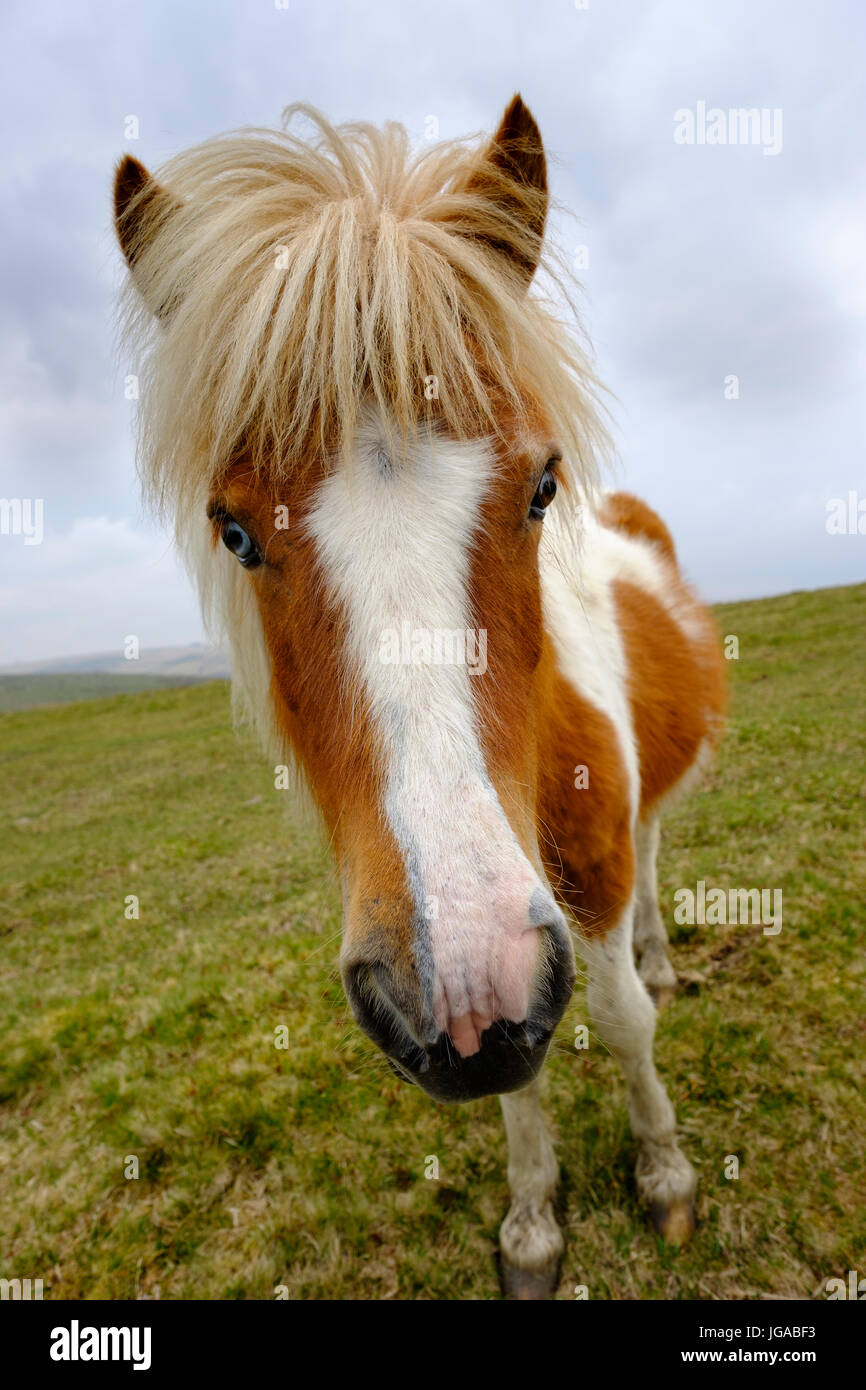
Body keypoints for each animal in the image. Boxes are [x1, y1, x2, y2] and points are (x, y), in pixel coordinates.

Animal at [114, 93, 726, 1299]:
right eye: (234, 529)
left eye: (540, 485)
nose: (462, 977)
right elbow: (518, 1077)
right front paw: (533, 1221)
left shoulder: (586, 873)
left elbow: (622, 1022)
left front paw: (665, 1171)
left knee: (652, 864)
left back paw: (658, 953)